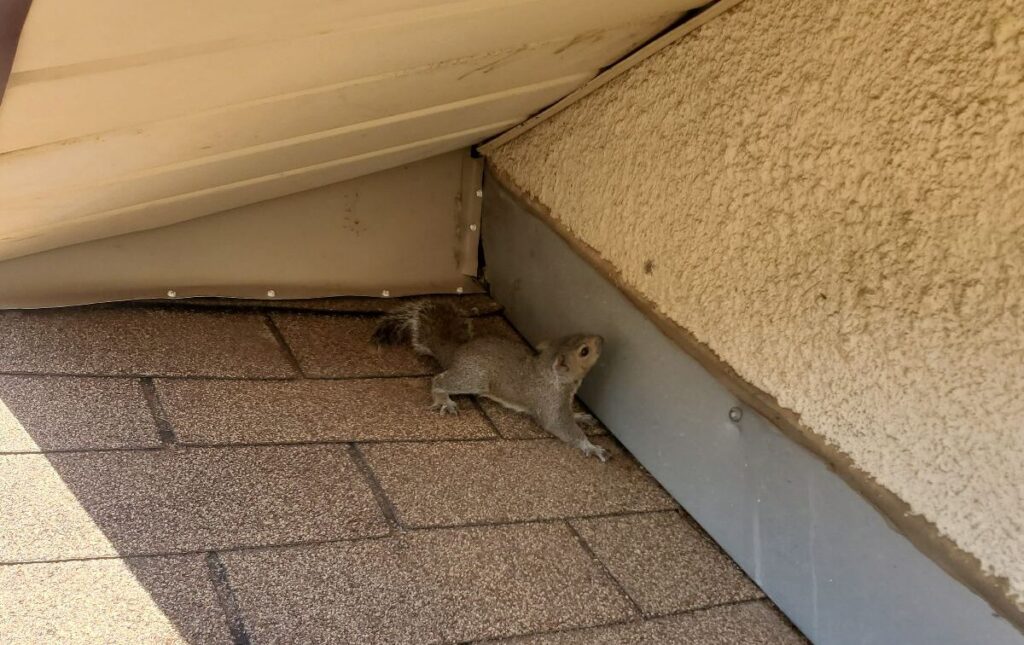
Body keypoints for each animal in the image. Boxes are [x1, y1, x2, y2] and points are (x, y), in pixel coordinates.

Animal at [372, 300, 610, 462]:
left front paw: (580, 416)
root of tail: (457, 352)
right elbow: (559, 425)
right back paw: (444, 400)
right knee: (440, 379)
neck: (550, 372)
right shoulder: (549, 400)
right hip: (474, 377)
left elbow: (570, 416)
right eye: (584, 351)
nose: (601, 339)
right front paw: (591, 446)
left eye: (577, 335)